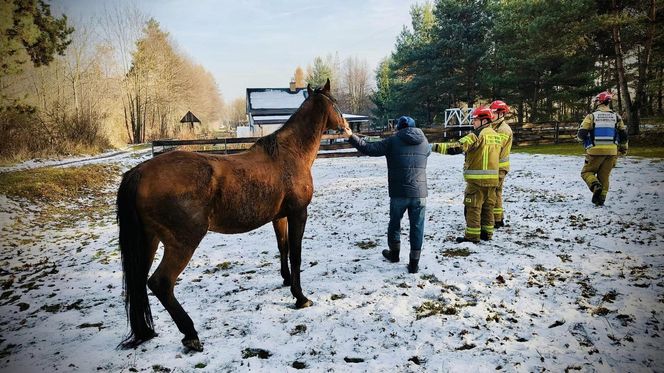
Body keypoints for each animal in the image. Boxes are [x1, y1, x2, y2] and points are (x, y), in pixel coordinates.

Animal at [117, 80, 350, 350]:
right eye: (335, 103)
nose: (346, 127)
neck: (290, 153)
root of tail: (140, 171)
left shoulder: (279, 217)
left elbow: (283, 248)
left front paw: (286, 281)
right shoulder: (298, 214)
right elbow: (296, 254)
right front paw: (300, 297)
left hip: (149, 242)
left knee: (139, 282)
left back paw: (147, 331)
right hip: (183, 242)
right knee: (160, 283)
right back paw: (191, 333)